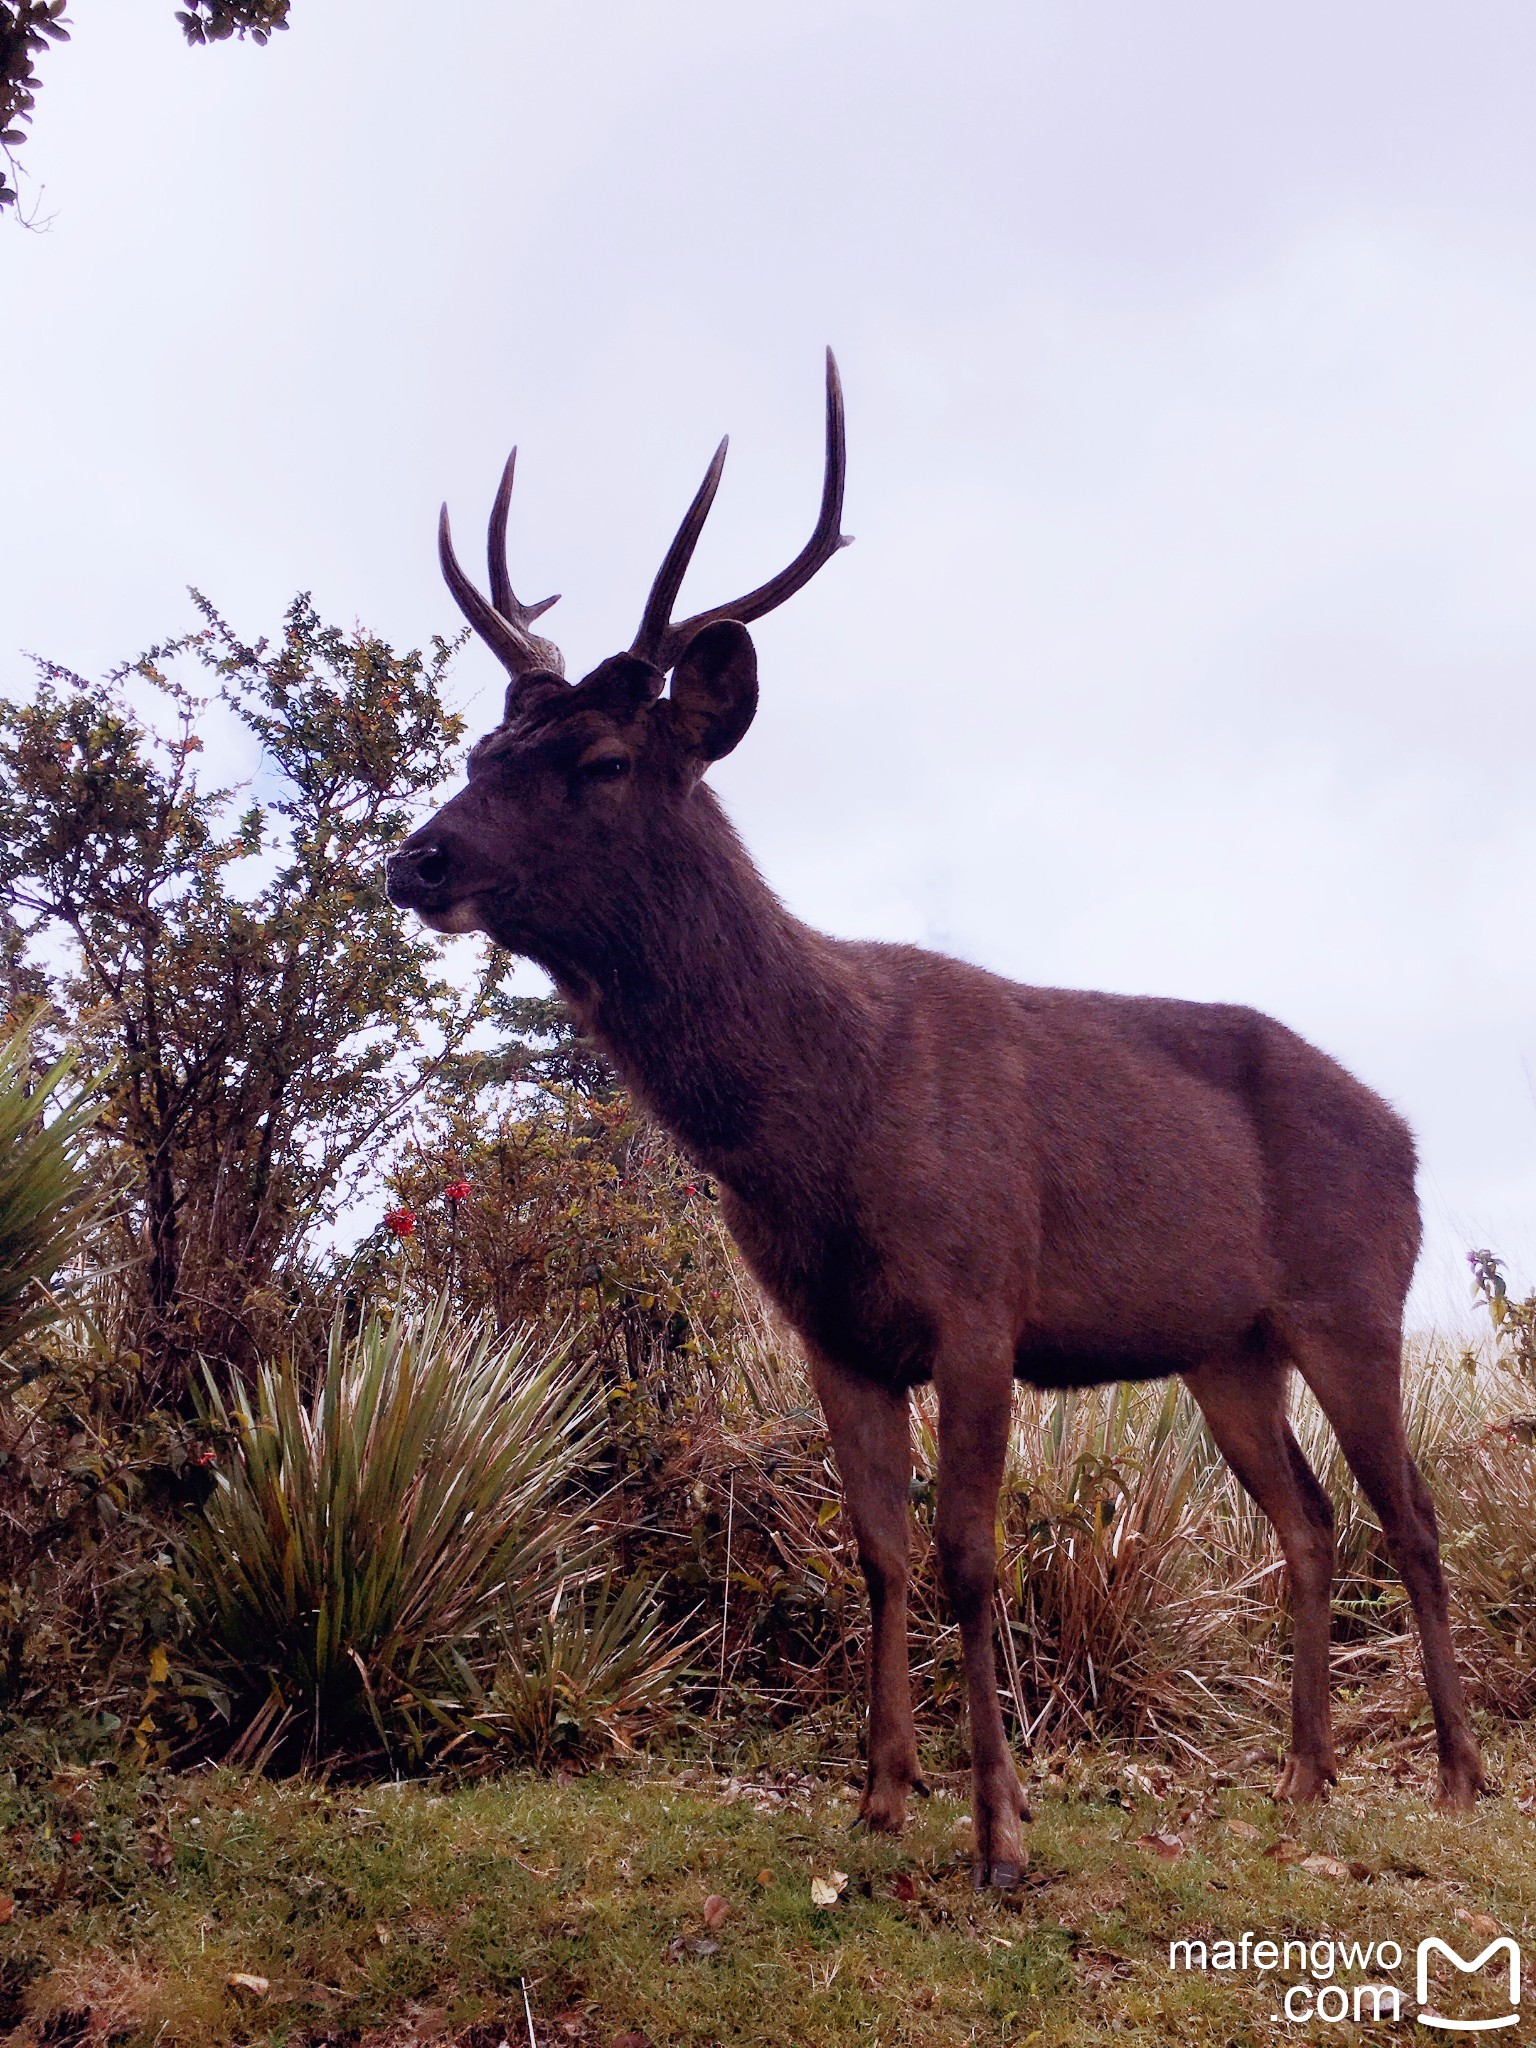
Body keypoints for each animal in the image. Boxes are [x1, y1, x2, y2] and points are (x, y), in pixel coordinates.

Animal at [391, 356, 1482, 1884]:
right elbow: (881, 1552)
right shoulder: (834, 1330)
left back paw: (1455, 1777)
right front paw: (882, 1794)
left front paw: (1002, 1827)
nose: (415, 858)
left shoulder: (980, 1298)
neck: (816, 1123)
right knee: (1314, 1520)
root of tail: (1409, 1137)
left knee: (1416, 1515)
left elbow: (973, 1552)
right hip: (1229, 1344)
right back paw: (1303, 1777)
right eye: (484, 744)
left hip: (1354, 1294)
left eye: (600, 760)